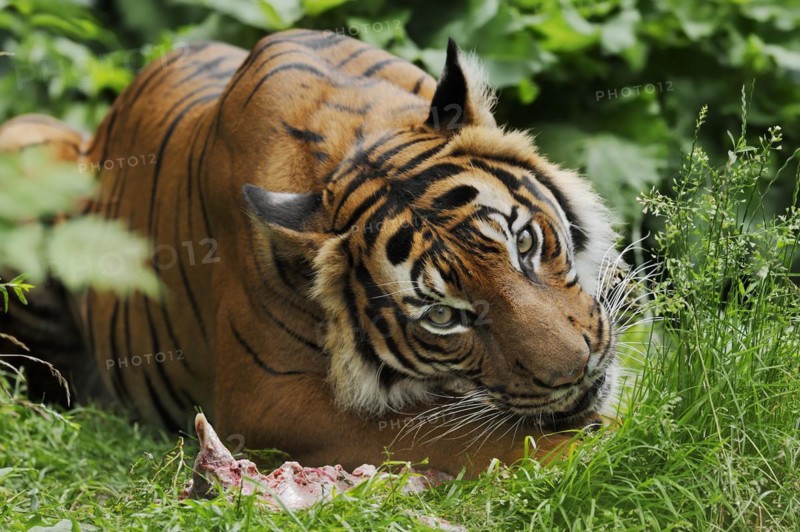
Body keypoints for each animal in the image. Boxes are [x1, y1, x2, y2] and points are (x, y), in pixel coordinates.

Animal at [0, 29, 626, 476]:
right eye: (442, 316)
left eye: (524, 243)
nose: (575, 371)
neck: (352, 137)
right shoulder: (269, 402)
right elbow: (476, 435)